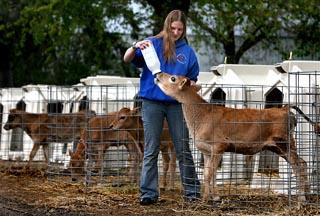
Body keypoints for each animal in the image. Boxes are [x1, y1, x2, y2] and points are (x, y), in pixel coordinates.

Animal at [156, 72, 318, 204]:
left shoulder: (218, 147)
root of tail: (284, 109)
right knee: (301, 164)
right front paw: (215, 197)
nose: (157, 74)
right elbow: (210, 173)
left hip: (285, 142)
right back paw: (306, 194)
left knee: (299, 164)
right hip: (278, 147)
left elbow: (208, 174)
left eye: (173, 78)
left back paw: (302, 198)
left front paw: (205, 199)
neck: (201, 115)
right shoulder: (207, 151)